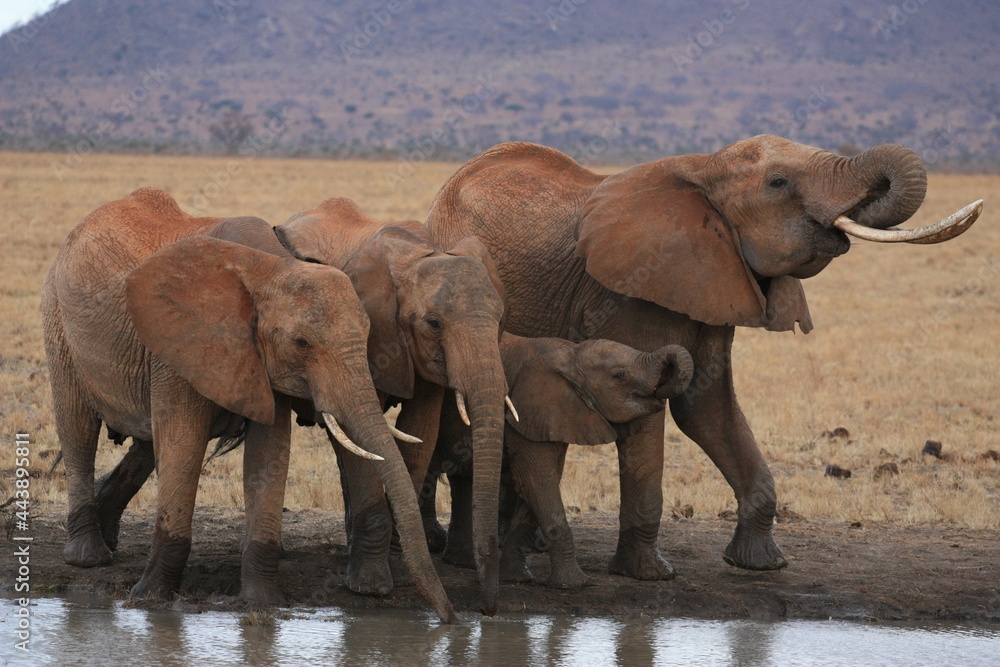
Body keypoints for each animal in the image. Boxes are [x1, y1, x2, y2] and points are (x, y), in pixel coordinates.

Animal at [41, 187, 456, 623]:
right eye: (301, 343)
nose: (448, 620)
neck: (271, 267)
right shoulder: (183, 344)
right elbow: (184, 445)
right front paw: (151, 598)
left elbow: (268, 455)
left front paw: (261, 605)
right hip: (58, 322)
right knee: (78, 430)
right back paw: (88, 558)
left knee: (144, 446)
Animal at [275, 197, 511, 614]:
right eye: (434, 323)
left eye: (500, 321)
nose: (486, 611)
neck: (417, 255)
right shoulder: (366, 334)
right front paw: (371, 587)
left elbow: (420, 435)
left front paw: (401, 571)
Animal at [427, 334, 693, 588]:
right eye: (619, 375)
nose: (662, 392)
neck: (570, 353)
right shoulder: (526, 411)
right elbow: (538, 482)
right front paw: (573, 584)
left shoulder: (554, 417)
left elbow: (539, 484)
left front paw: (514, 578)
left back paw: (463, 562)